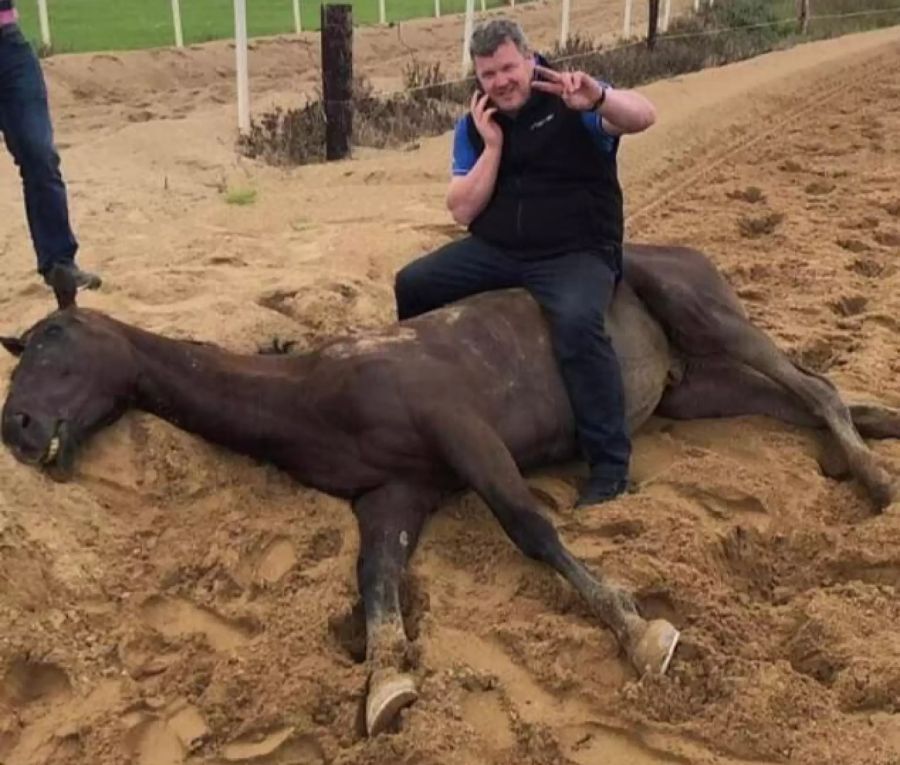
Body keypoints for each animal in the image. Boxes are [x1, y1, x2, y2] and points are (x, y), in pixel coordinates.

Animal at [1, 246, 900, 736]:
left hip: (708, 316)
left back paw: (876, 482)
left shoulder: (467, 433)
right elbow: (375, 584)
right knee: (812, 397)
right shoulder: (393, 495)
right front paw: (387, 686)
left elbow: (531, 528)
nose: (16, 426)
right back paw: (874, 441)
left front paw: (639, 630)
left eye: (54, 343)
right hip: (692, 387)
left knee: (812, 386)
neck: (317, 389)